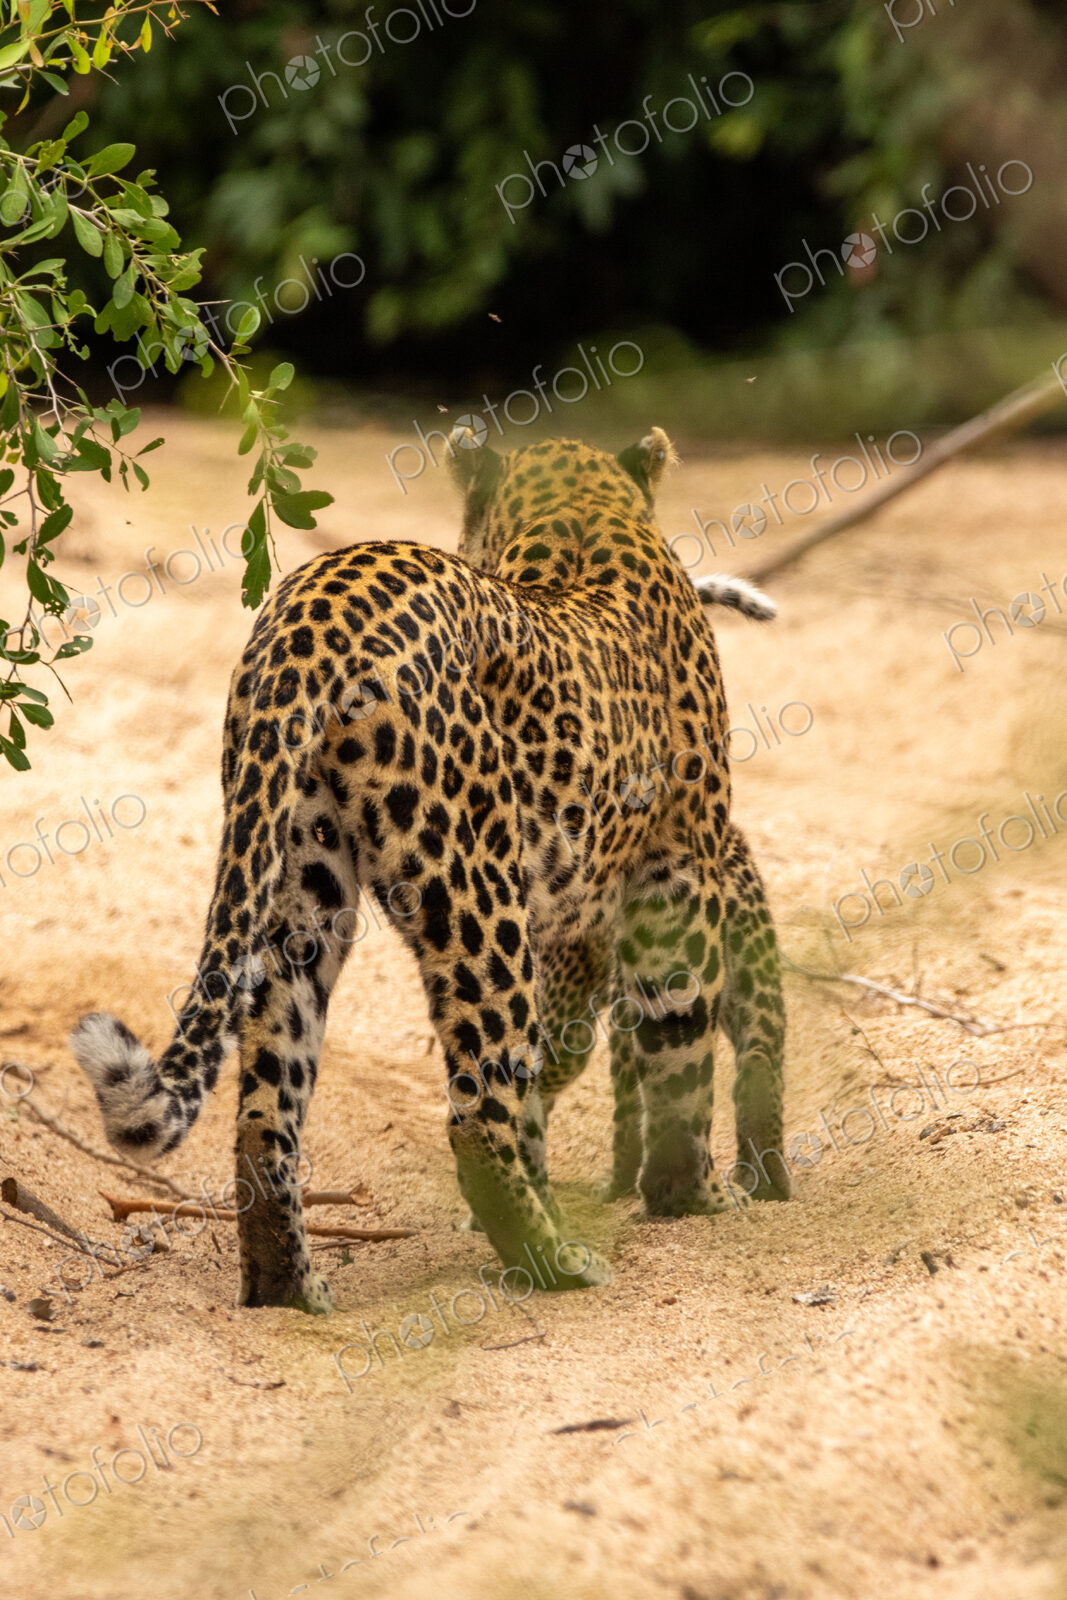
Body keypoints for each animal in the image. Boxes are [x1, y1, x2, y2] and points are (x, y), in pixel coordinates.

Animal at [70, 426, 789, 1314]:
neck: (581, 516)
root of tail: (314, 612)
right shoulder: (677, 867)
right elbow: (677, 1037)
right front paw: (690, 1194)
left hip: (298, 886)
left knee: (267, 1109)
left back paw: (287, 1285)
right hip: (474, 890)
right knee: (476, 1107)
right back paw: (554, 1260)